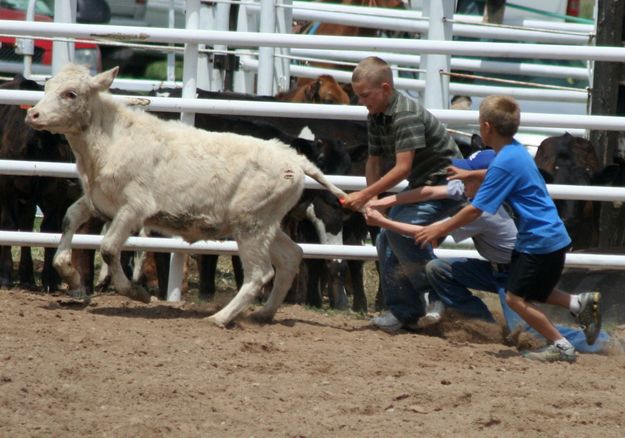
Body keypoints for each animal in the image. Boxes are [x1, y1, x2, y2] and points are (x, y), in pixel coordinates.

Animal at [25, 64, 346, 326]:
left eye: (71, 94)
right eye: (47, 87)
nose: (32, 114)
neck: (111, 139)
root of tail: (294, 158)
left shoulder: (134, 209)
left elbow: (108, 248)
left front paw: (137, 293)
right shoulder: (99, 202)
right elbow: (69, 219)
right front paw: (70, 275)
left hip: (251, 227)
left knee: (259, 274)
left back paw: (221, 318)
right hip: (265, 223)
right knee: (291, 257)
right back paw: (263, 314)